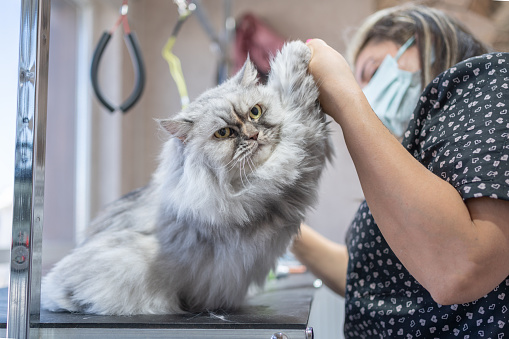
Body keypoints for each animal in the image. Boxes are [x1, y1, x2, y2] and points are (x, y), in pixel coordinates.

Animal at [41, 41, 332, 318]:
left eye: (255, 112)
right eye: (224, 133)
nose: (253, 136)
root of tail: (50, 290)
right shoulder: (297, 154)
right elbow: (294, 97)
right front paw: (298, 50)